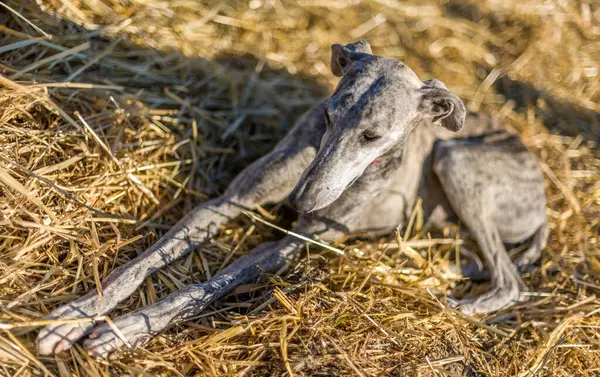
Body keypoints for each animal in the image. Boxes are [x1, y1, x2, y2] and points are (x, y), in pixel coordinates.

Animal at [35, 41, 548, 358]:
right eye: (328, 114)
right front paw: (74, 316)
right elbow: (144, 262)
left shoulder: (291, 245)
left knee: (511, 282)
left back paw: (456, 306)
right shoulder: (226, 202)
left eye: (372, 136)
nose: (299, 204)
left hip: (453, 157)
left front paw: (124, 330)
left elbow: (211, 285)